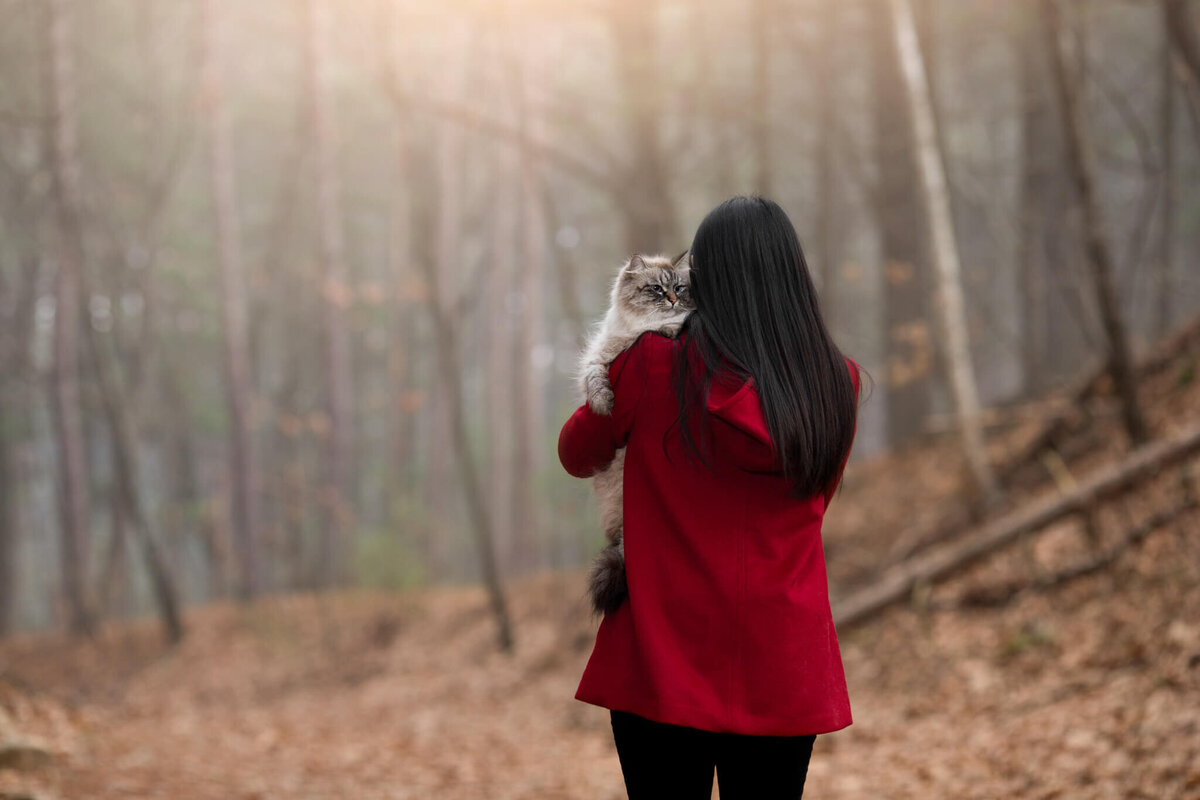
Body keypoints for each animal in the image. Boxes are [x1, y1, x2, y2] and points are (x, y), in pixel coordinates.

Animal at [580, 253, 696, 618]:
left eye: (679, 288)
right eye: (656, 289)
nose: (671, 299)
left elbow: (666, 329)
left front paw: (669, 327)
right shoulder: (598, 356)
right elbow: (594, 379)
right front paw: (603, 404)